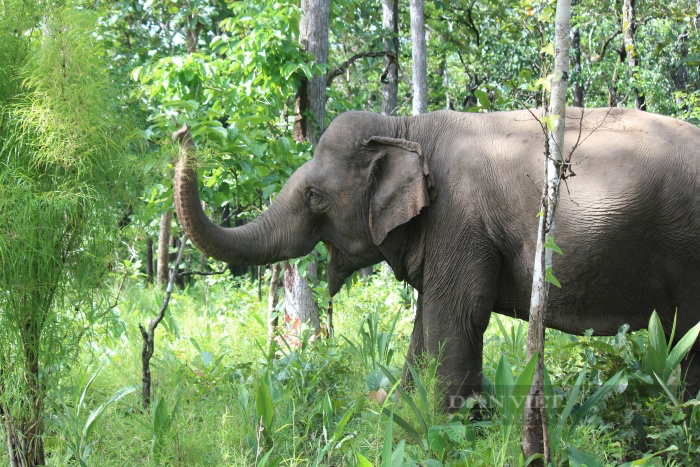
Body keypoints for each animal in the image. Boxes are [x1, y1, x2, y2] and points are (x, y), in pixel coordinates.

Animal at [174, 108, 700, 408]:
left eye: (316, 197)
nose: (182, 130)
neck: (405, 128)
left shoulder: (460, 218)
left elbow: (459, 313)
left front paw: (448, 425)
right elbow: (426, 319)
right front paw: (401, 410)